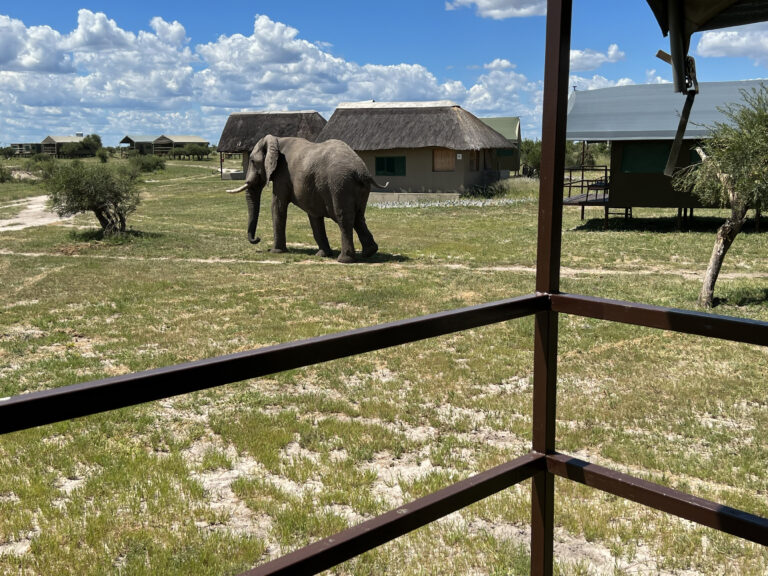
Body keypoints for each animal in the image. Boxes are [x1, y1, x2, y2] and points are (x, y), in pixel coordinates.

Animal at [226, 135, 384, 264]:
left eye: (252, 161)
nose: (257, 239)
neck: (276, 140)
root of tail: (362, 171)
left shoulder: (282, 175)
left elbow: (277, 206)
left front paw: (276, 252)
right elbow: (313, 215)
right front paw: (322, 255)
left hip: (340, 185)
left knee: (344, 218)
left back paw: (344, 260)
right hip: (357, 188)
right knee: (359, 217)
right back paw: (369, 253)